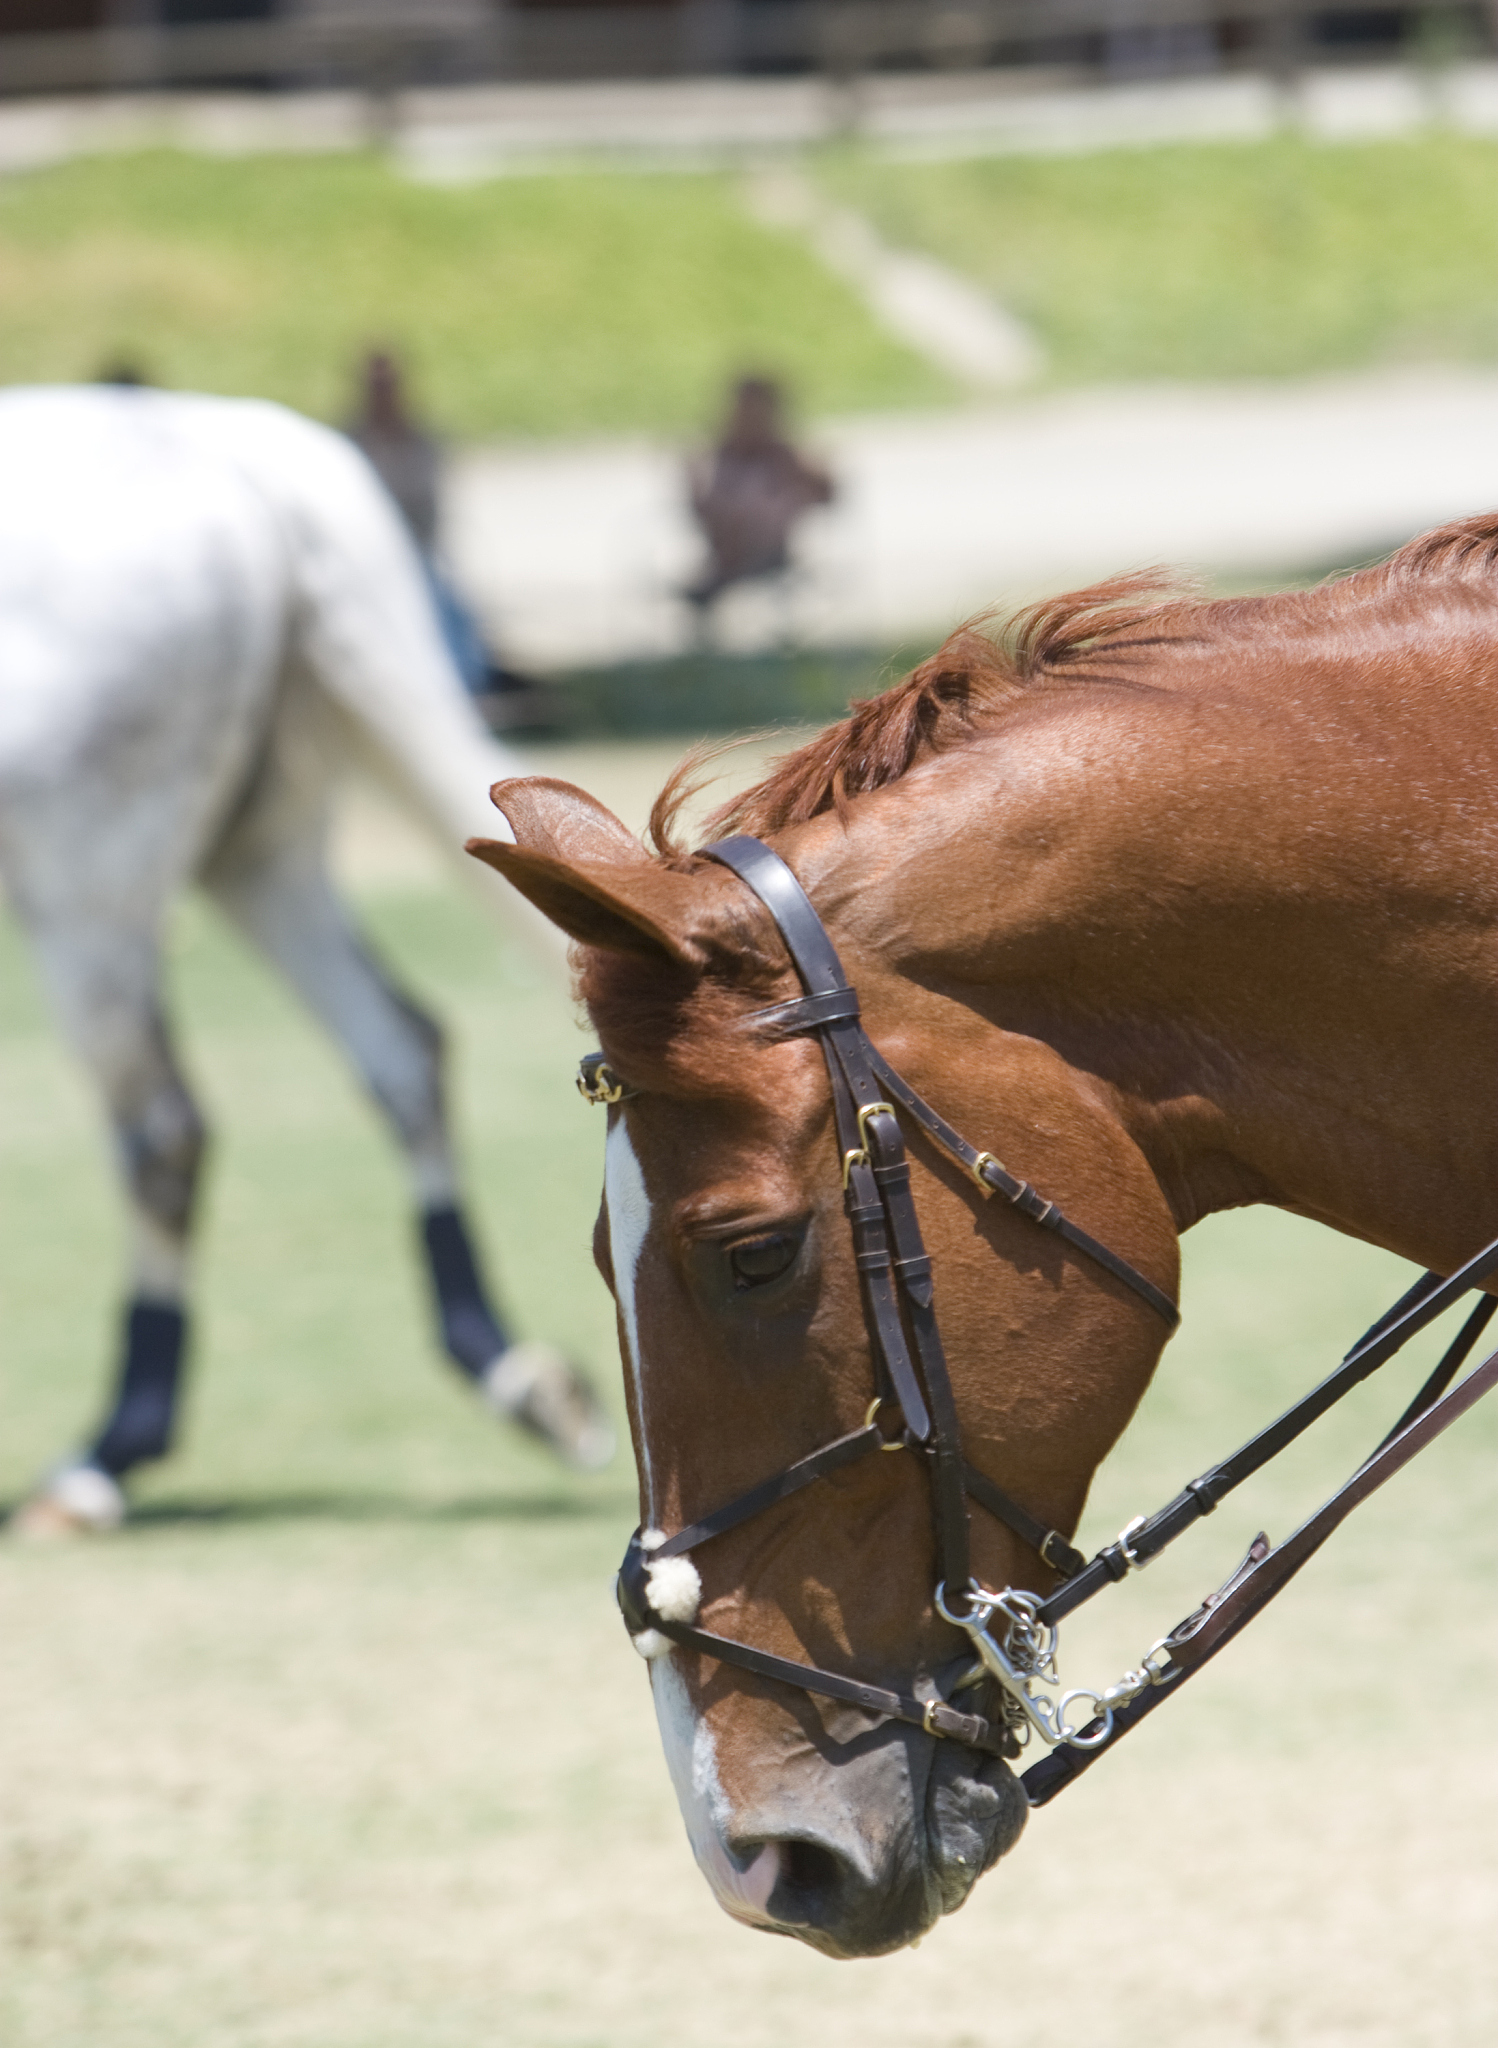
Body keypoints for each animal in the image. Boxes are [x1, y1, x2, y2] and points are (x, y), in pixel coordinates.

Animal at [0, 384, 613, 1538]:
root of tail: (205, 437)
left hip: (89, 878)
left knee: (164, 1131)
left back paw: (105, 1457)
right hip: (255, 855)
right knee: (401, 1051)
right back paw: (515, 1375)